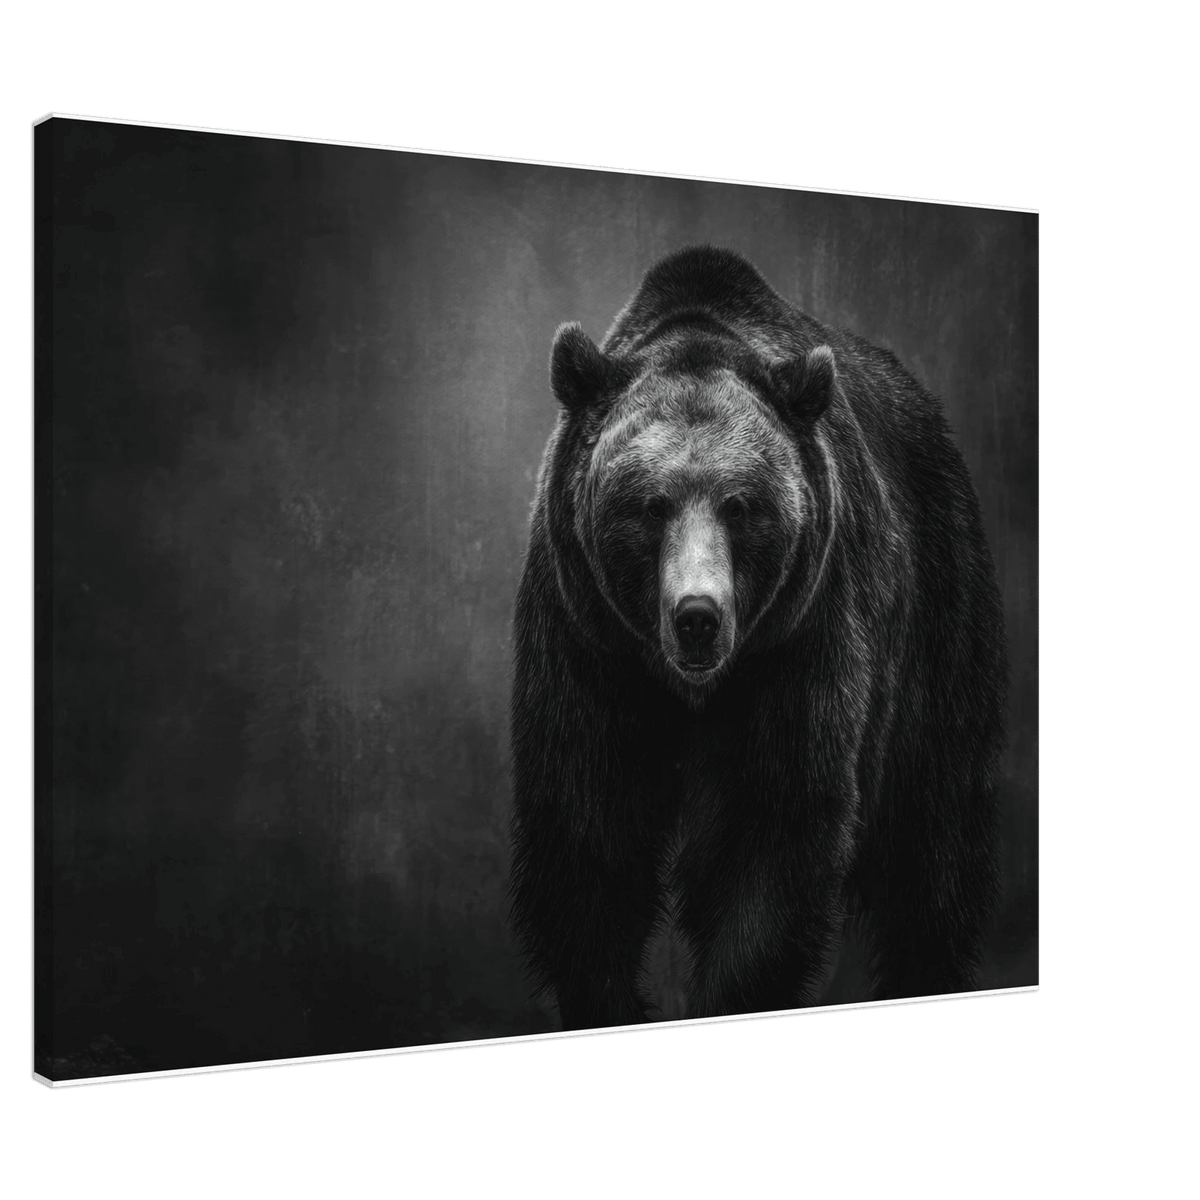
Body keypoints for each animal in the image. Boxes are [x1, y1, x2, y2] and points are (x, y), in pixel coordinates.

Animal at [509, 246, 1006, 1031]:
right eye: (650, 505)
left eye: (740, 505)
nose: (697, 615)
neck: (691, 688)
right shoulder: (585, 638)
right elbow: (587, 824)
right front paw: (611, 997)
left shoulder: (800, 638)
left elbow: (773, 830)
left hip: (940, 612)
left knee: (935, 841)